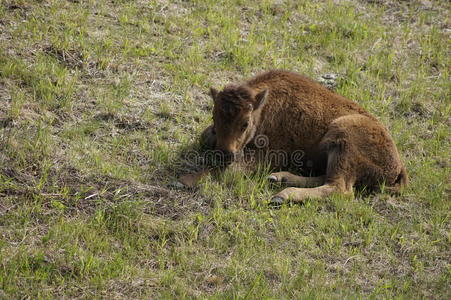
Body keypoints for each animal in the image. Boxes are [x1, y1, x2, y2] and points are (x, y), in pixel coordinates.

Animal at [200, 70, 408, 206]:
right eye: (214, 117)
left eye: (244, 123)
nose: (223, 154)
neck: (264, 106)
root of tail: (397, 166)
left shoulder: (269, 154)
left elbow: (233, 171)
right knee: (327, 178)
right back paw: (278, 179)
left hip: (343, 137)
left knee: (339, 189)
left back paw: (281, 195)